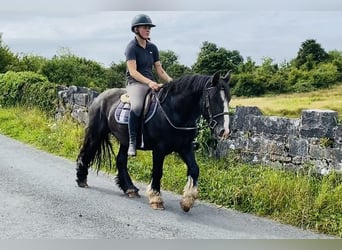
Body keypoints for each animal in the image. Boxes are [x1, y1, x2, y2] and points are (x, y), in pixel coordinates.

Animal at [76, 71, 231, 212]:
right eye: (214, 98)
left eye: (228, 99)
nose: (225, 131)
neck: (173, 111)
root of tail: (100, 97)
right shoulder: (159, 149)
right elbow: (158, 171)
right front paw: (156, 199)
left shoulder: (185, 147)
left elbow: (194, 169)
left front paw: (187, 201)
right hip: (96, 133)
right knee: (86, 152)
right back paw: (81, 179)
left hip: (125, 141)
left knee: (120, 160)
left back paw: (130, 188)